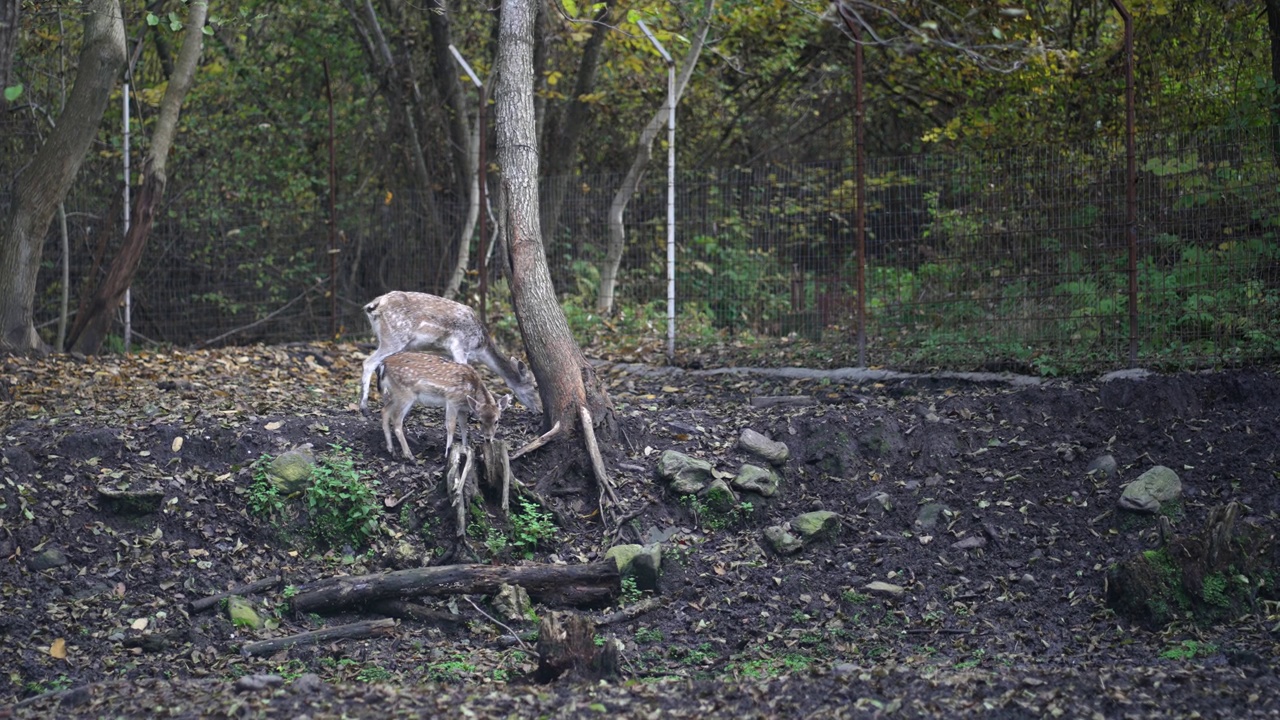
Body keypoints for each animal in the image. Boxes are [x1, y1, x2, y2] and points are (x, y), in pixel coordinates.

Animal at [358, 289, 542, 415]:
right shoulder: (461, 346)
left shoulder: (445, 352)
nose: (540, 409)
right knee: (368, 362)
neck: (480, 347)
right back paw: (364, 407)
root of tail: (373, 306)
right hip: (394, 338)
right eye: (535, 385)